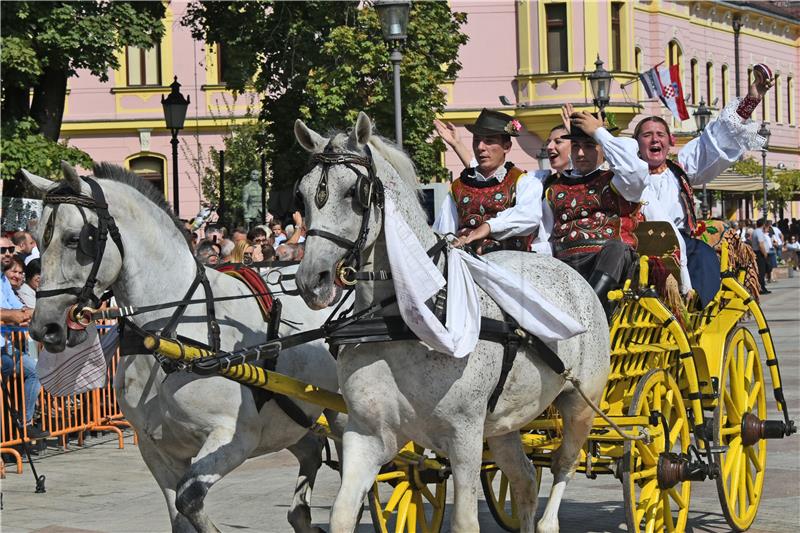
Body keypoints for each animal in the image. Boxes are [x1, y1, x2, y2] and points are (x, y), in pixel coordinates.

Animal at [23, 163, 342, 532]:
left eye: (75, 239)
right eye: (38, 240)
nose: (45, 327)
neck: (168, 336)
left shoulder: (234, 438)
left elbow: (189, 499)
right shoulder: (157, 449)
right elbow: (179, 517)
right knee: (311, 451)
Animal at [294, 113, 612, 532]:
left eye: (354, 193)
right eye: (301, 195)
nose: (311, 280)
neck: (402, 322)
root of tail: (571, 272)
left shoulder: (464, 436)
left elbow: (464, 521)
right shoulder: (366, 434)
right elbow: (343, 513)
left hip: (580, 403)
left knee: (564, 466)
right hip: (505, 423)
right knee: (525, 479)